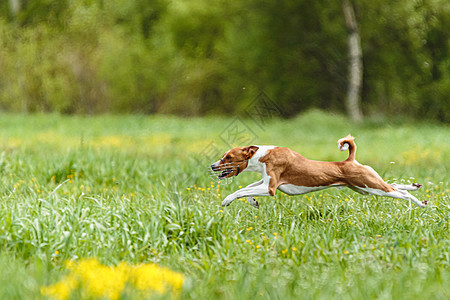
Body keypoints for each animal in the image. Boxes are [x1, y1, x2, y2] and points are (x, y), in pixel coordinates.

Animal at [211, 135, 428, 209]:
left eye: (228, 157)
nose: (213, 166)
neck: (263, 156)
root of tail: (349, 160)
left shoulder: (270, 187)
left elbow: (240, 190)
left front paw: (227, 200)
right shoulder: (266, 182)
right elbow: (246, 189)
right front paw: (253, 202)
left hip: (370, 186)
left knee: (399, 193)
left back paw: (421, 203)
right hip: (364, 187)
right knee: (395, 185)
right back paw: (415, 187)